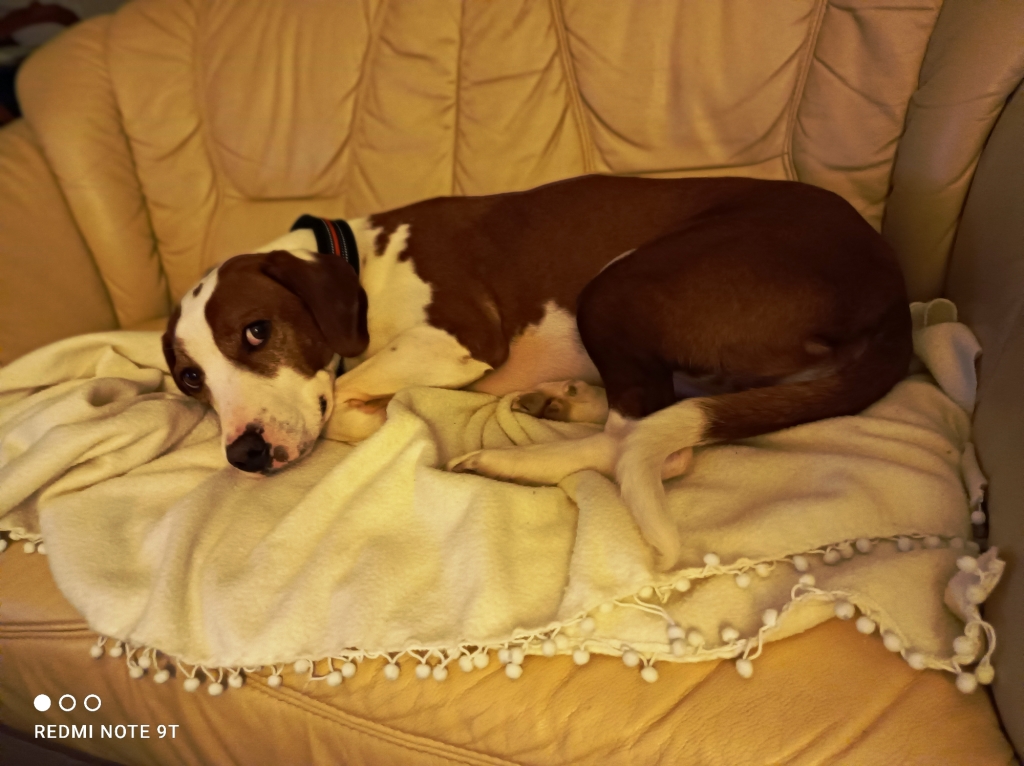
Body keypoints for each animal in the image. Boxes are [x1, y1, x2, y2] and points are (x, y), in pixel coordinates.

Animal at [162, 175, 912, 568]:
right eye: (190, 380)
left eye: (256, 331)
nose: (245, 454)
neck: (358, 259)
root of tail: (892, 294)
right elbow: (344, 406)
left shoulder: (461, 342)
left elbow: (344, 388)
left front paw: (376, 410)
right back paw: (562, 400)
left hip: (619, 286)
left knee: (645, 443)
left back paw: (510, 462)